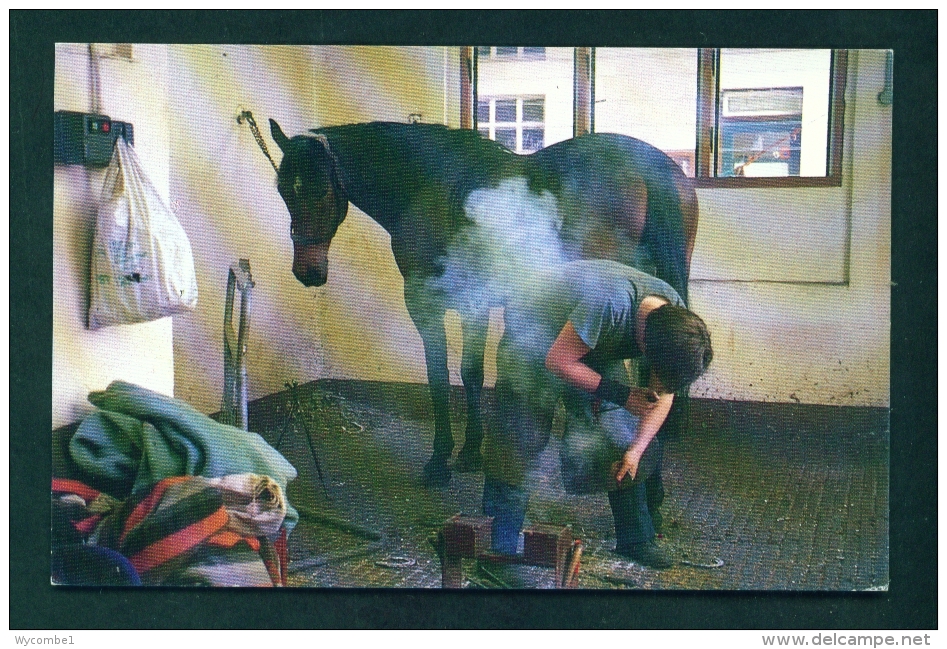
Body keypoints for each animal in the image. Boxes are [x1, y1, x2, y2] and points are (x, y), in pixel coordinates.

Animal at [266, 121, 696, 486]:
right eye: (284, 191)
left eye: (322, 190)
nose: (307, 271)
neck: (430, 184)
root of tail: (651, 168)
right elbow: (467, 374)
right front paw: (471, 451)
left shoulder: (435, 303)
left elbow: (448, 375)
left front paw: (445, 459)